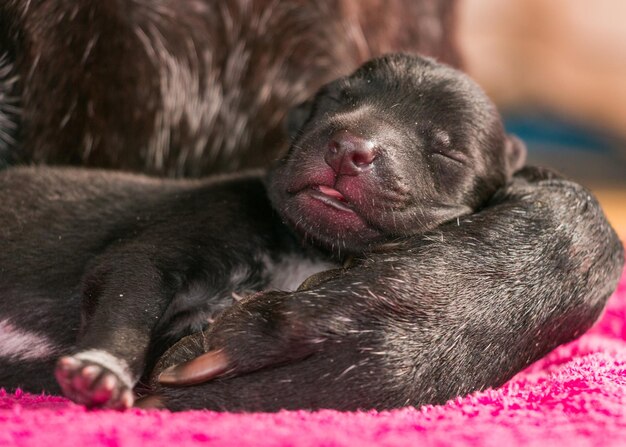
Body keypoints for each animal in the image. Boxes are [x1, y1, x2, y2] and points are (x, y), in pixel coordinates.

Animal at [0, 53, 524, 410]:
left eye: (447, 152)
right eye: (337, 98)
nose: (347, 147)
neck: (308, 248)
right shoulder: (164, 247)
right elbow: (130, 298)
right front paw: (101, 368)